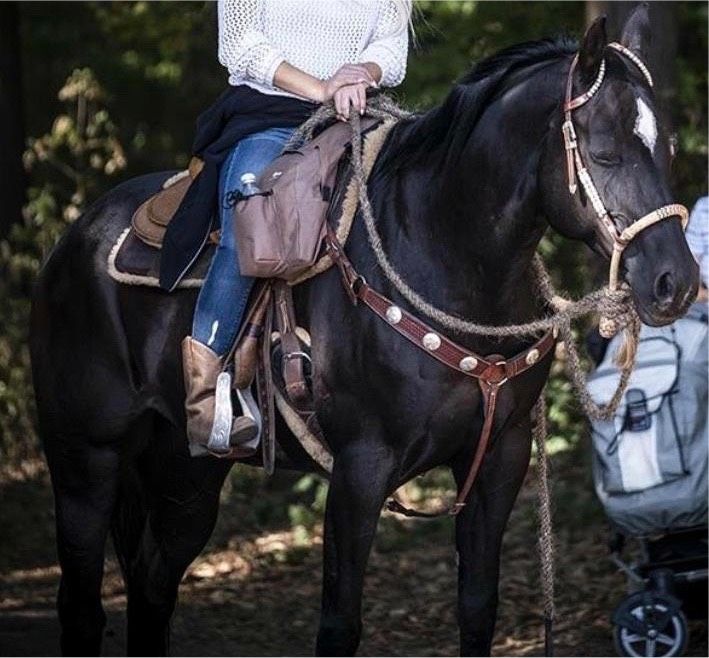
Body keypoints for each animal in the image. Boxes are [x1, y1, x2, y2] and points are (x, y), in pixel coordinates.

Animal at [29, 10, 696, 656]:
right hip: (87, 461)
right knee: (83, 607)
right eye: (604, 153)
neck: (443, 251)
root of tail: (75, 237)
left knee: (152, 591)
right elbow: (339, 625)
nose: (677, 283)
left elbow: (478, 610)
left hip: (186, 472)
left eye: (667, 149)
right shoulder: (359, 470)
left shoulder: (498, 461)